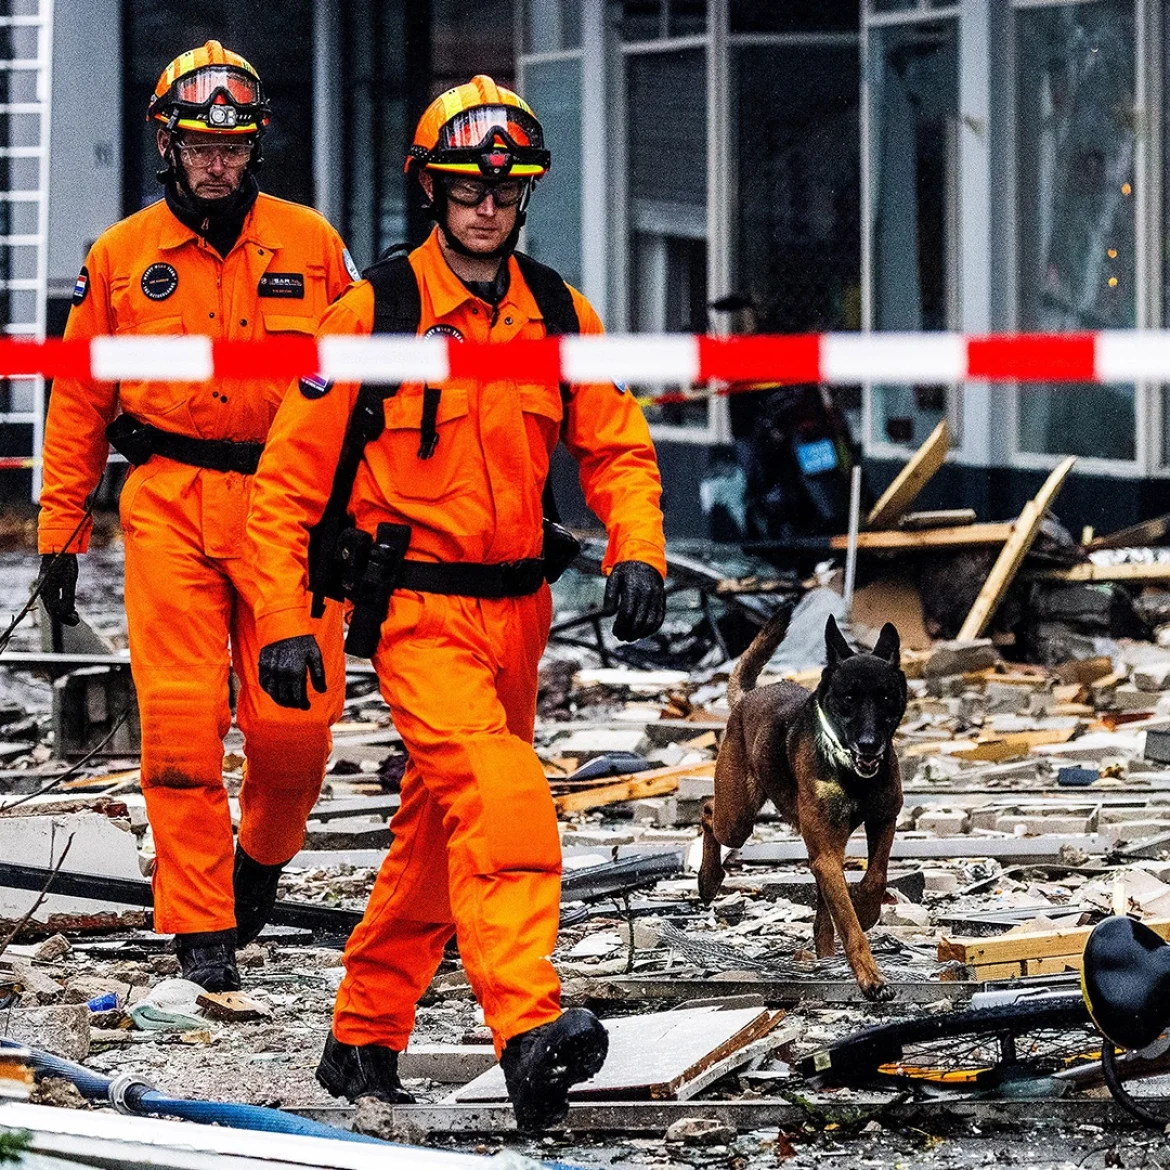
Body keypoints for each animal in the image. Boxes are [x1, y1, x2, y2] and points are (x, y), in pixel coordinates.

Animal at [697, 608, 907, 1001]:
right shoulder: (826, 854)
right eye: (848, 698)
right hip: (738, 818)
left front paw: (867, 910)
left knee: (824, 914)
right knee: (707, 810)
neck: (848, 771)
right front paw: (870, 977)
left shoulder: (884, 818)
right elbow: (849, 924)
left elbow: (875, 877)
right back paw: (708, 878)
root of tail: (748, 697)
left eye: (887, 698)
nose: (869, 744)